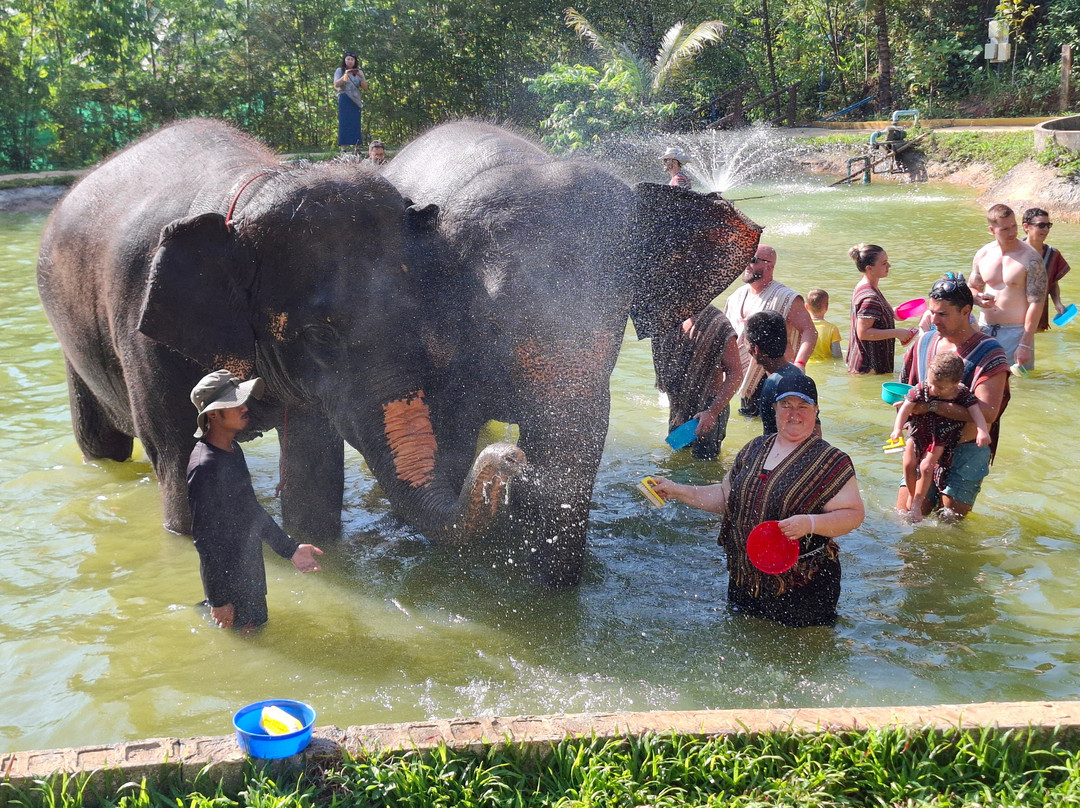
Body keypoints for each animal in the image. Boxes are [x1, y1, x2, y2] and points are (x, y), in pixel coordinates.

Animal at [37, 118, 524, 543]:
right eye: (319, 335)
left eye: (423, 318)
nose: (511, 457)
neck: (250, 191)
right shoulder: (144, 335)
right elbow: (178, 459)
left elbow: (313, 471)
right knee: (102, 443)